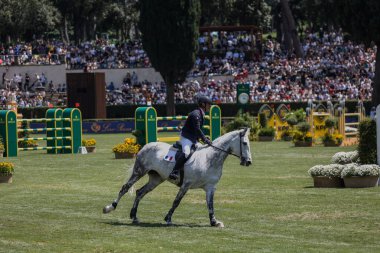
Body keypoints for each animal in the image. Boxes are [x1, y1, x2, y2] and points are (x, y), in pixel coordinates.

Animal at [104, 128, 252, 227]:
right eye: (244, 143)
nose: (249, 162)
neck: (209, 158)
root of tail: (146, 145)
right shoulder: (186, 184)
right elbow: (176, 201)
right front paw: (168, 219)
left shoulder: (210, 187)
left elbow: (210, 205)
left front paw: (214, 222)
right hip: (139, 171)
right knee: (125, 188)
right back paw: (110, 207)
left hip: (156, 179)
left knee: (140, 192)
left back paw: (134, 216)